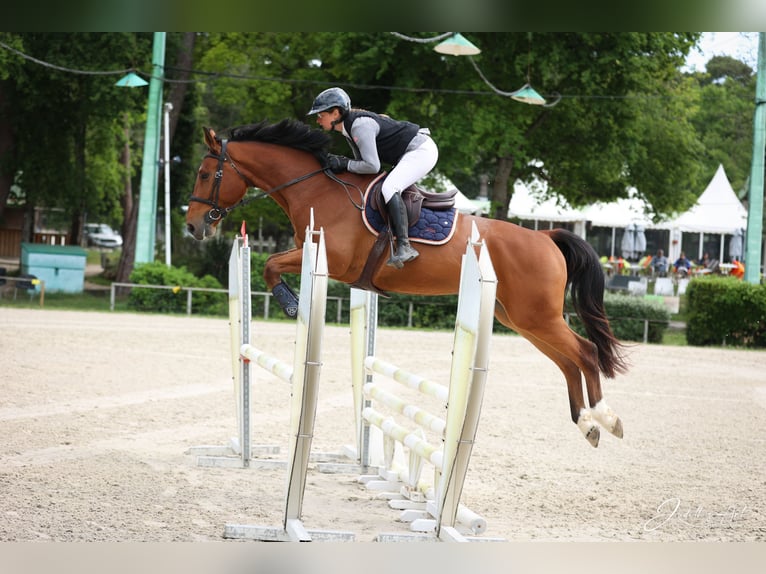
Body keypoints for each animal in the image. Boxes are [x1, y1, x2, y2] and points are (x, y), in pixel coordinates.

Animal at [185, 118, 628, 447]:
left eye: (205, 174)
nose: (192, 227)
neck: (316, 188)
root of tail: (546, 236)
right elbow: (271, 265)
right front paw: (292, 301)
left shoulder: (333, 262)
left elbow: (270, 265)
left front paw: (292, 303)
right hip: (520, 319)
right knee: (567, 361)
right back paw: (586, 424)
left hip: (536, 317)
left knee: (585, 352)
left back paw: (607, 417)